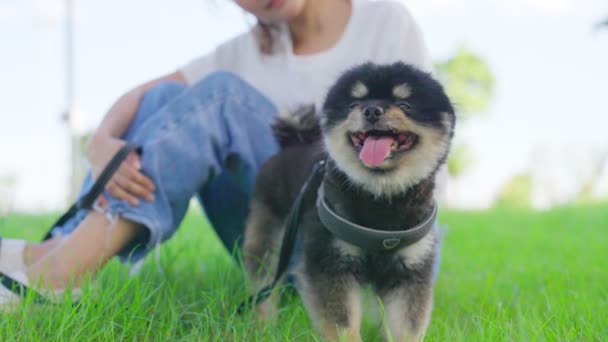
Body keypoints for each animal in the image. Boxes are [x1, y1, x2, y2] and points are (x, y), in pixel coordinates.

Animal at [245, 62, 454, 340]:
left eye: (405, 104)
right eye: (354, 103)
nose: (372, 110)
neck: (381, 200)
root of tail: (292, 143)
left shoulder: (410, 270)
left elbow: (406, 327)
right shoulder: (331, 261)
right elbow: (342, 324)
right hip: (269, 234)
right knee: (264, 281)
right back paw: (263, 325)